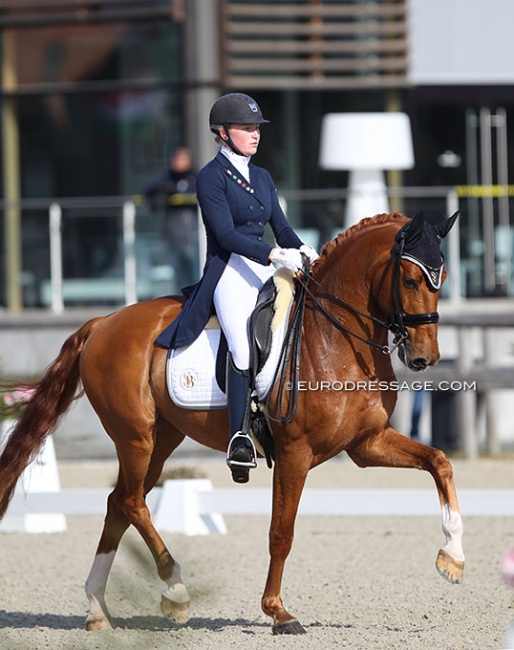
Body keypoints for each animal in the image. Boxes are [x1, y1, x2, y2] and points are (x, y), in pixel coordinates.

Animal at [0, 211, 462, 632]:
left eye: (440, 277)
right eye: (410, 281)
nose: (425, 357)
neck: (335, 337)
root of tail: (102, 323)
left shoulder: (367, 443)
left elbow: (439, 461)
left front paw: (453, 557)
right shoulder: (295, 453)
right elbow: (281, 532)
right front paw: (278, 612)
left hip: (162, 438)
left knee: (119, 502)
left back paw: (98, 608)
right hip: (135, 437)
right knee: (132, 502)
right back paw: (176, 591)